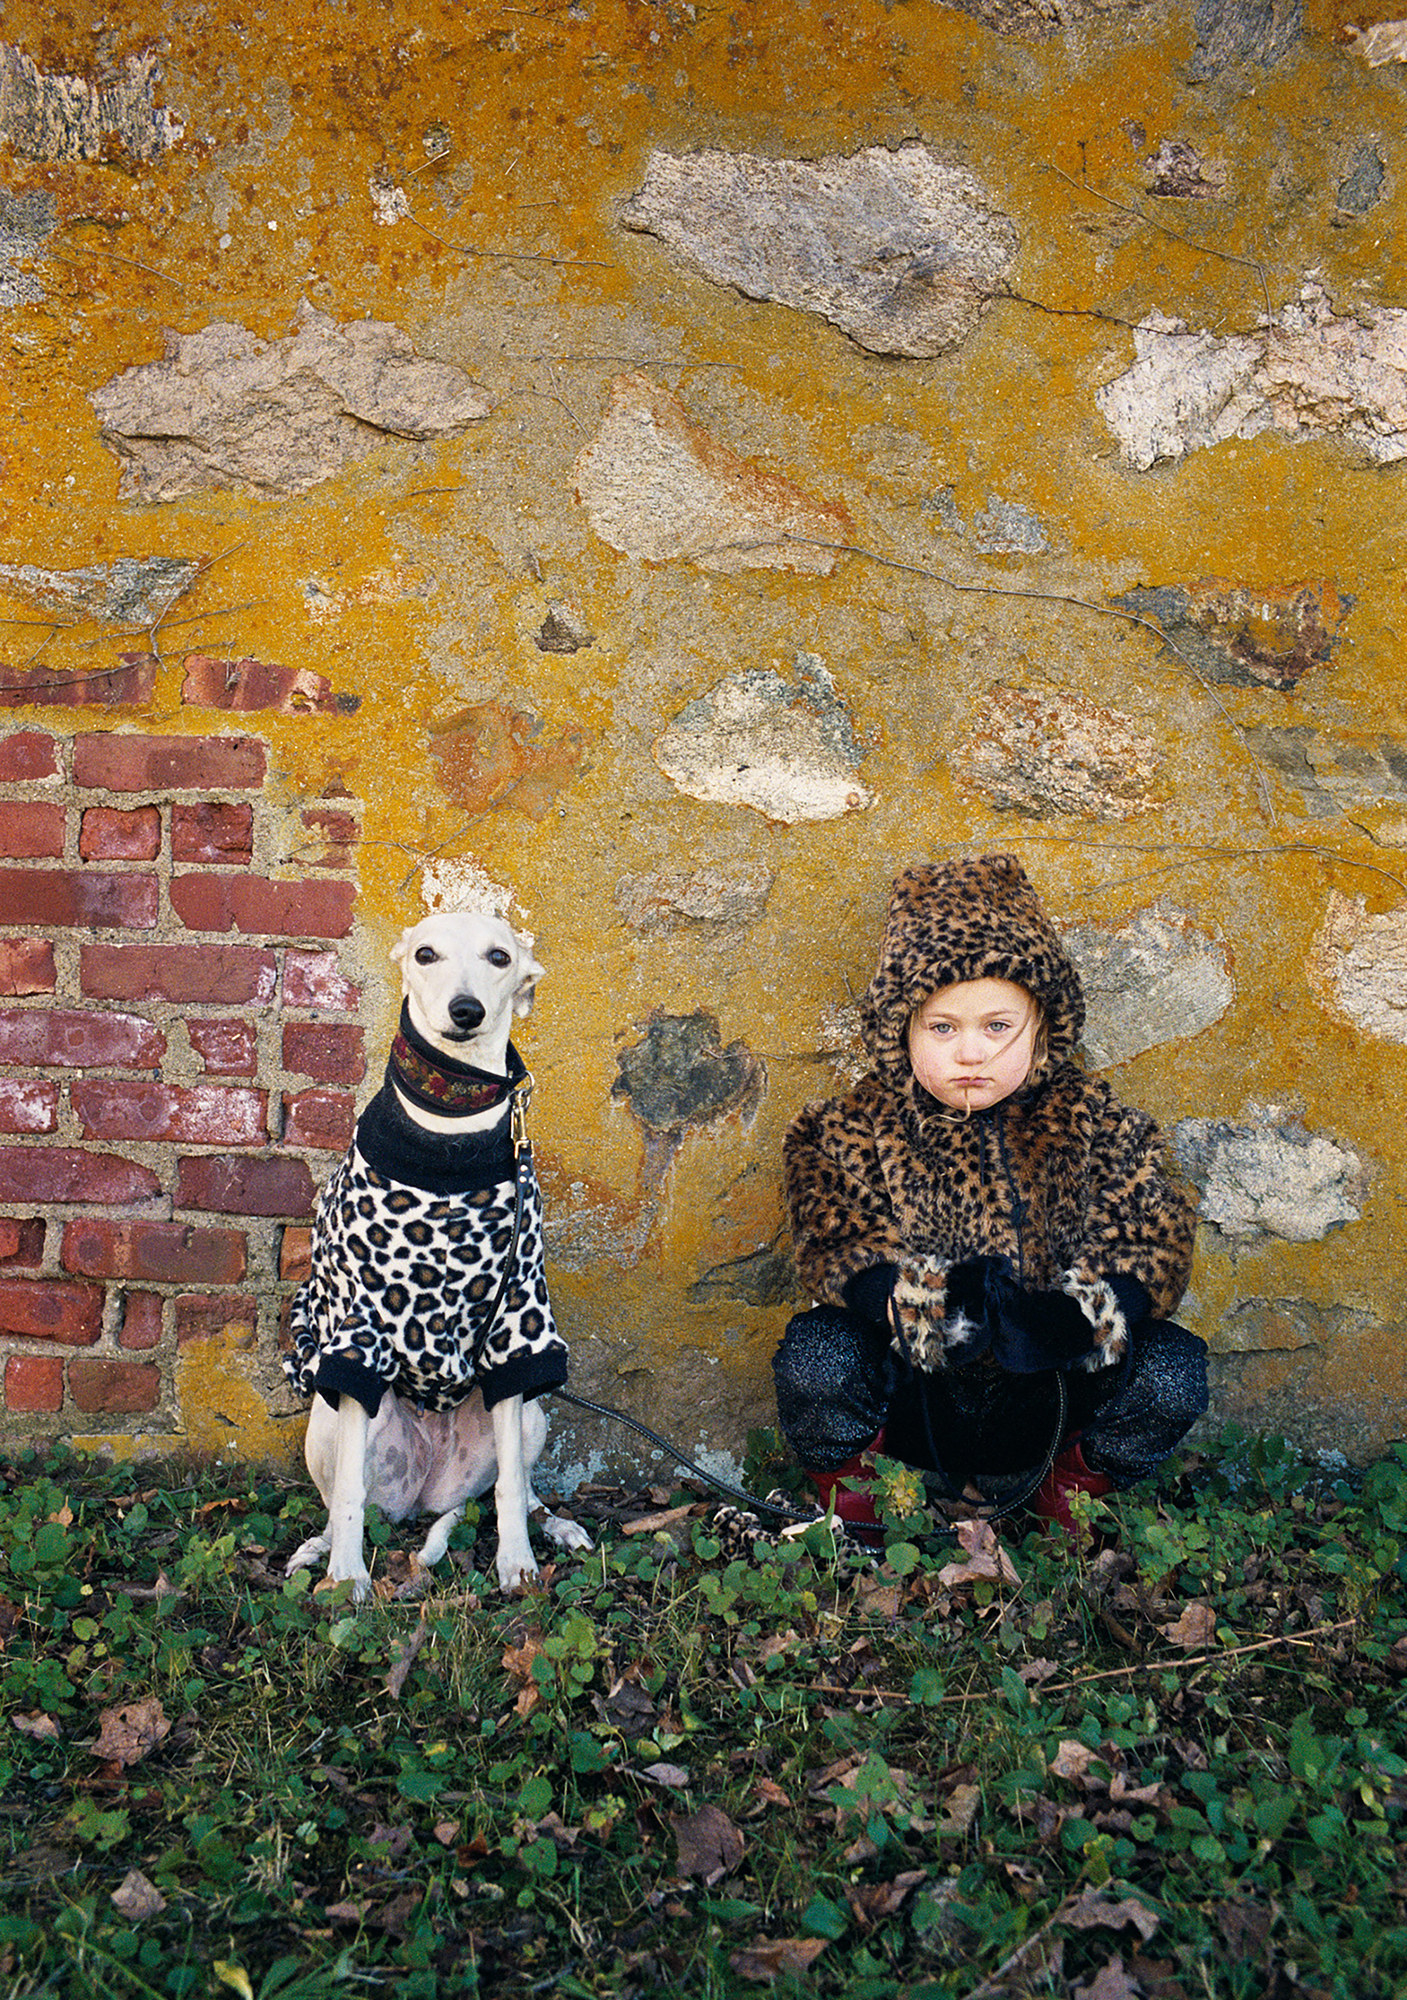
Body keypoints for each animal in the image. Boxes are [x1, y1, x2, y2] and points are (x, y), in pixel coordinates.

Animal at [283, 916, 591, 1600]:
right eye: (426, 954)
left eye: (500, 957)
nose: (465, 1011)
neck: (448, 1134)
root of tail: (428, 1493)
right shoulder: (359, 1335)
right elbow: (349, 1493)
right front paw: (347, 1576)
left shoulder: (518, 1325)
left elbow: (510, 1489)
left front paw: (516, 1563)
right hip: (330, 1418)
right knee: (343, 1495)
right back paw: (319, 1549)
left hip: (530, 1415)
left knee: (519, 1485)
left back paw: (554, 1526)